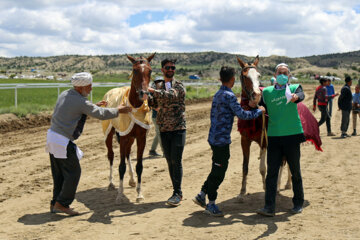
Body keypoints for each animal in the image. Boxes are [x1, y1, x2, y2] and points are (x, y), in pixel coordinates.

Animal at [100, 53, 155, 204]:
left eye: (150, 71)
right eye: (135, 70)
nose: (143, 93)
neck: (134, 106)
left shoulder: (140, 138)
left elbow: (139, 166)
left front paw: (139, 194)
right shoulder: (124, 136)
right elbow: (121, 166)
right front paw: (119, 195)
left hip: (130, 138)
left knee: (128, 154)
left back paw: (131, 180)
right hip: (109, 132)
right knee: (111, 155)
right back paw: (111, 183)